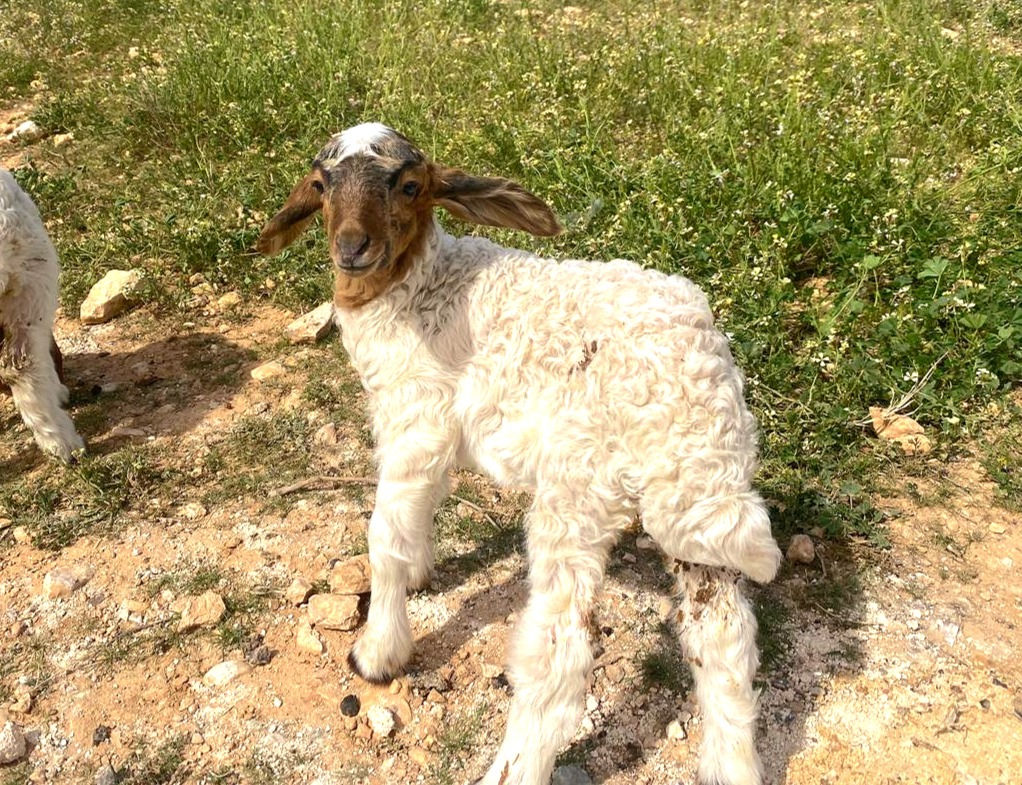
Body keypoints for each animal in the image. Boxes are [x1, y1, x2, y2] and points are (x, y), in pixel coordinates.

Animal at [257, 123, 782, 785]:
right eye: (321, 186)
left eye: (409, 186)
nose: (352, 248)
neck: (417, 287)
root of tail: (697, 376)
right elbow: (420, 513)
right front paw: (422, 572)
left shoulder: (417, 420)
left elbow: (385, 537)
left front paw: (378, 651)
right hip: (700, 486)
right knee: (724, 637)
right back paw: (732, 763)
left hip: (581, 487)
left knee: (559, 655)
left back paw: (515, 766)